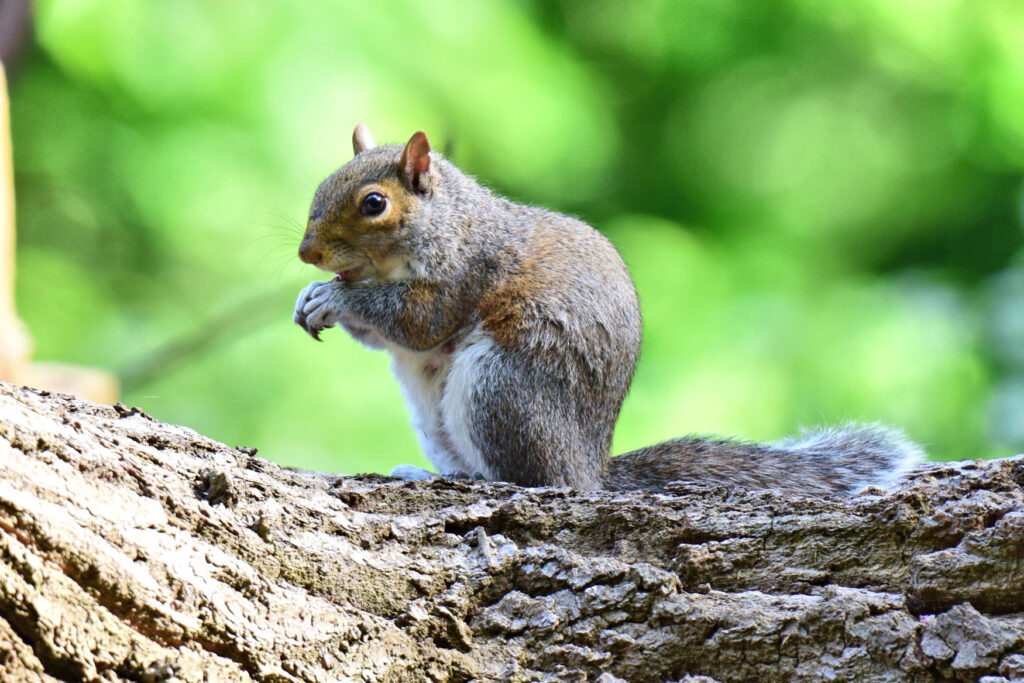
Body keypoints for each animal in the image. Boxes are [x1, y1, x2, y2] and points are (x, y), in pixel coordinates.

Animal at [293, 124, 923, 496]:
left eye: (374, 204)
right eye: (319, 187)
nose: (308, 254)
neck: (448, 221)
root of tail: (590, 468)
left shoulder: (467, 271)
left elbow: (417, 322)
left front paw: (335, 297)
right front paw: (312, 298)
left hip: (500, 388)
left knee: (533, 481)